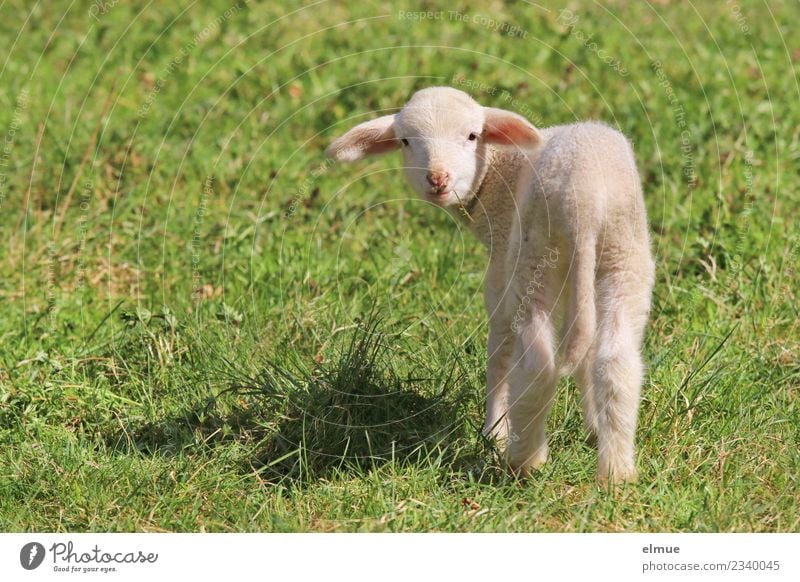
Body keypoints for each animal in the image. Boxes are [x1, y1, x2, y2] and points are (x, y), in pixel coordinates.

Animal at [326, 86, 656, 486]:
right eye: (405, 141)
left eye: (472, 136)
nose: (438, 179)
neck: (495, 172)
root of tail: (585, 204)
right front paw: (592, 427)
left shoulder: (500, 261)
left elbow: (499, 345)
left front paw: (493, 432)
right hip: (623, 252)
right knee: (616, 359)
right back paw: (617, 473)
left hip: (534, 255)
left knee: (537, 364)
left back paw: (522, 460)